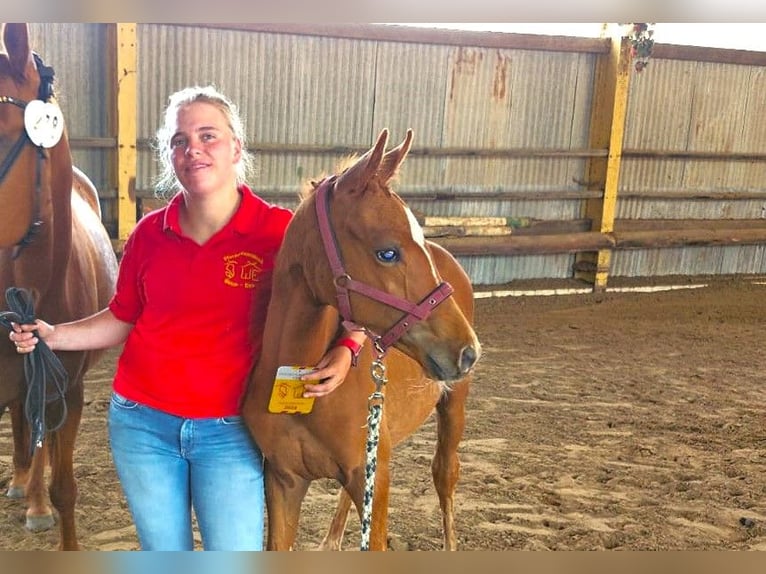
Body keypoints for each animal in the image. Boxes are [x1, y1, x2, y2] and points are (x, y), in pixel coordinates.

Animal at [243, 128, 484, 552]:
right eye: (387, 252)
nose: (467, 352)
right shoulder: (283, 481)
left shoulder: (377, 479)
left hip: (453, 406)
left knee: (445, 473)